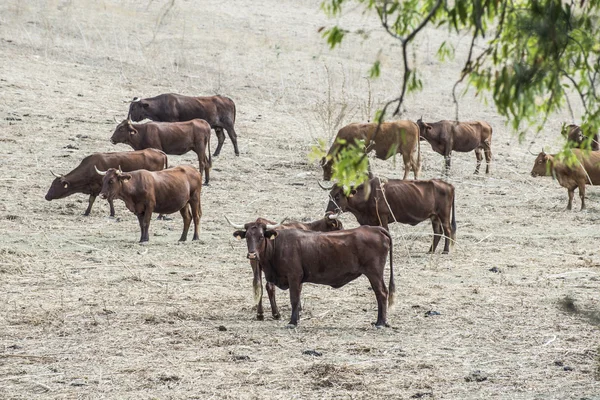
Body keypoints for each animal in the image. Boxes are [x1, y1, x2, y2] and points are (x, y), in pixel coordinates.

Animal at [226, 216, 394, 328]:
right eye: (247, 237)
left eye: (261, 236)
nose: (252, 255)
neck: (278, 244)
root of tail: (374, 228)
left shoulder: (294, 277)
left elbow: (294, 299)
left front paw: (293, 322)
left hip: (374, 273)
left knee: (381, 293)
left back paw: (380, 322)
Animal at [324, 177, 454, 253]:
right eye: (329, 195)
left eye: (337, 196)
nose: (327, 213)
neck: (369, 194)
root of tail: (448, 185)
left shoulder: (383, 216)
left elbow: (386, 230)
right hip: (434, 217)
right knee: (438, 232)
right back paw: (431, 250)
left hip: (444, 215)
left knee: (447, 230)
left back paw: (446, 250)